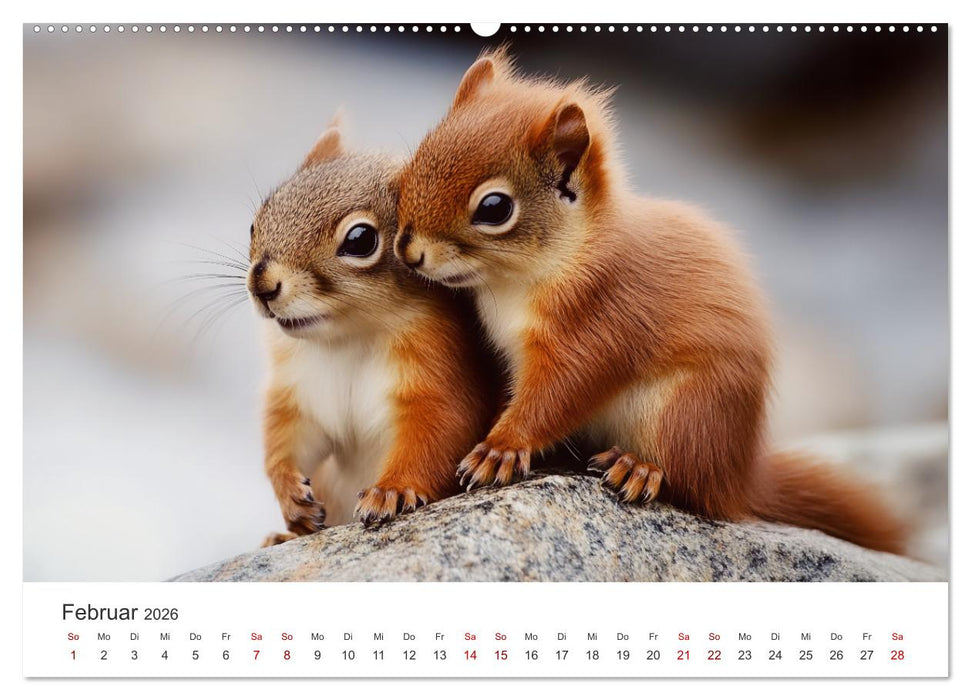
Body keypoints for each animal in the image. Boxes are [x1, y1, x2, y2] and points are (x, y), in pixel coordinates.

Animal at [248, 118, 497, 544]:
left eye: (361, 240)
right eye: (255, 222)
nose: (262, 285)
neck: (348, 338)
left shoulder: (442, 374)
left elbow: (438, 435)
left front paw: (390, 492)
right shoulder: (299, 390)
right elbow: (286, 437)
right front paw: (290, 496)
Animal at [393, 48, 906, 555]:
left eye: (494, 208)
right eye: (417, 158)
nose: (408, 250)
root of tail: (739, 479)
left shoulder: (601, 319)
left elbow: (560, 392)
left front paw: (500, 448)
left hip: (687, 410)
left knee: (688, 480)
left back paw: (640, 468)